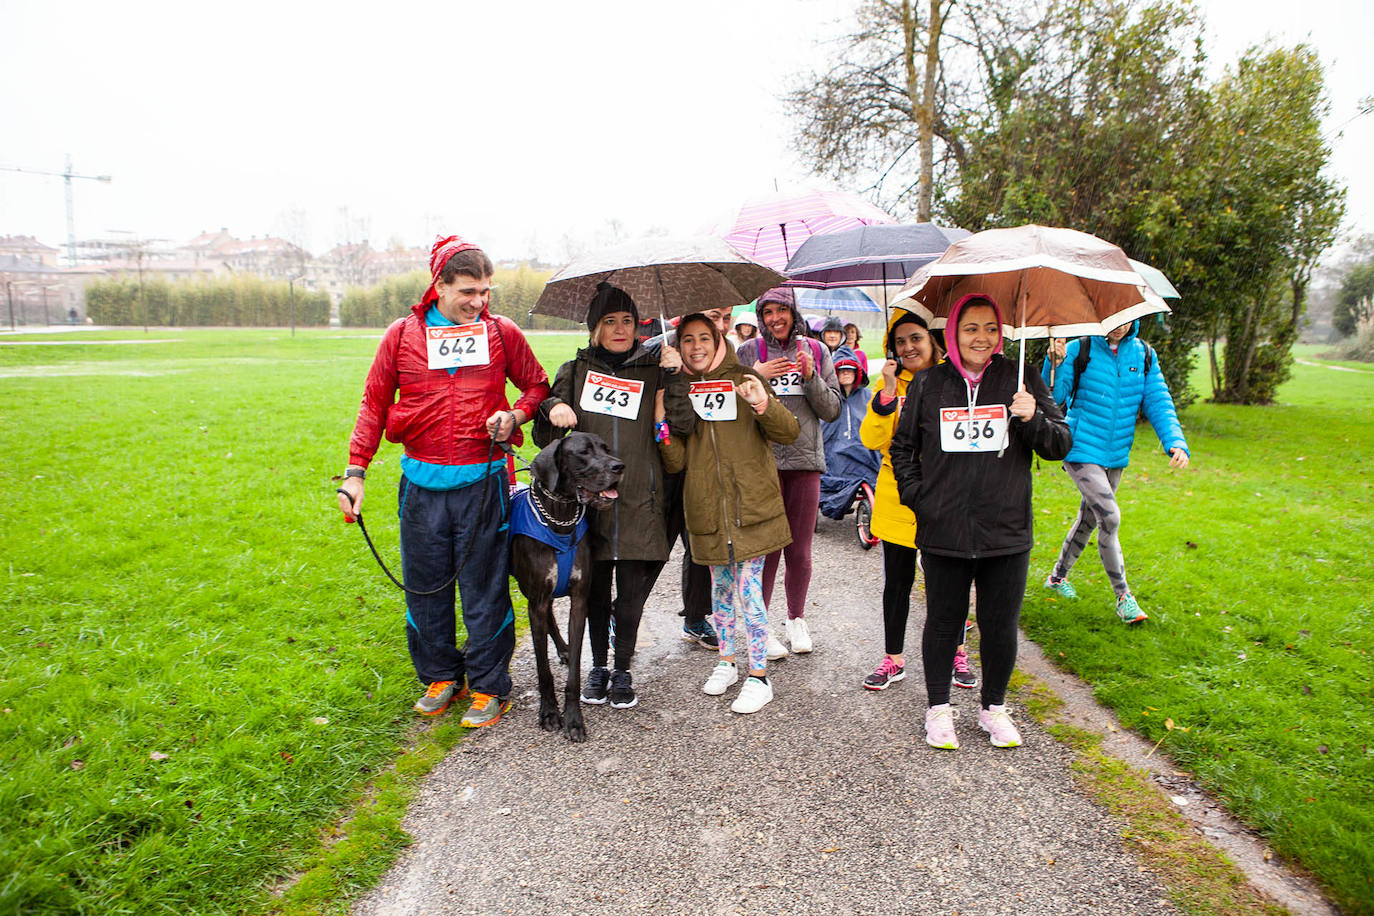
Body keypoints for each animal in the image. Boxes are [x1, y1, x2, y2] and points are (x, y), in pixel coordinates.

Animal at [513, 433, 626, 741]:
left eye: (606, 448)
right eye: (583, 452)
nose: (619, 466)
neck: (560, 515)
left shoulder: (579, 601)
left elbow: (575, 671)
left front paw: (574, 718)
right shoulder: (537, 599)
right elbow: (543, 670)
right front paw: (549, 713)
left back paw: (562, 648)